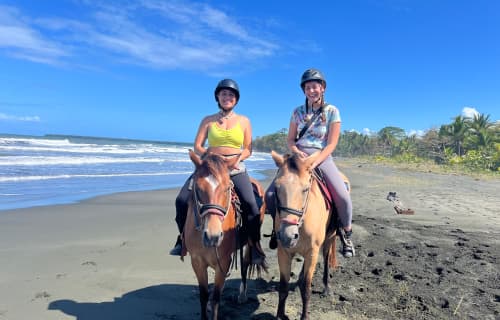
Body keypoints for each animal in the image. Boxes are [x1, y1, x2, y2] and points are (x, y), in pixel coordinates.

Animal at [184, 151, 268, 320]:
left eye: (227, 188)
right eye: (198, 188)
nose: (213, 236)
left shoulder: (223, 262)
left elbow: (216, 297)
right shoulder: (197, 262)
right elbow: (204, 295)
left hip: (250, 243)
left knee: (246, 263)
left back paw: (242, 295)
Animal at [268, 151, 338, 320]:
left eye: (306, 189)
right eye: (277, 188)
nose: (288, 236)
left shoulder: (312, 252)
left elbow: (306, 288)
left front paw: (304, 316)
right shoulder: (284, 252)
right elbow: (284, 286)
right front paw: (280, 315)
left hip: (330, 238)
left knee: (326, 258)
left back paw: (326, 288)